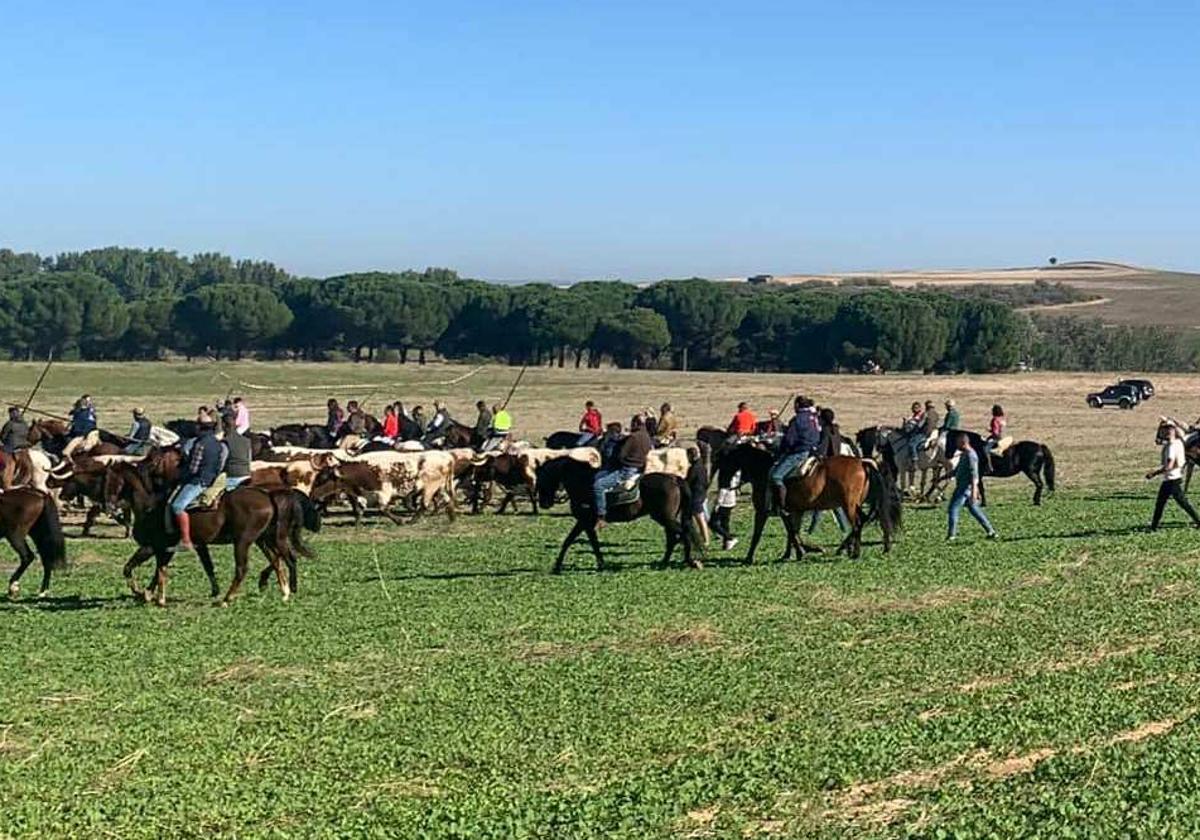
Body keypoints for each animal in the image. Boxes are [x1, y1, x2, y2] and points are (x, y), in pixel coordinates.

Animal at [105, 463, 319, 607]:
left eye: (110, 481)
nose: (109, 507)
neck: (150, 506)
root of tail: (267, 495)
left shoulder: (152, 547)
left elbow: (132, 568)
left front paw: (141, 592)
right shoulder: (178, 547)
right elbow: (179, 568)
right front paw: (153, 595)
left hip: (243, 542)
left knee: (245, 568)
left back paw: (227, 599)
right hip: (262, 539)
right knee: (278, 560)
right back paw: (284, 591)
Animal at [532, 456, 696, 573]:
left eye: (542, 477)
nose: (544, 503)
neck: (582, 482)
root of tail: (673, 479)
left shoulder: (584, 521)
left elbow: (572, 541)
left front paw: (557, 566)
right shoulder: (586, 524)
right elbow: (588, 543)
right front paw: (601, 564)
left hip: (664, 518)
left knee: (683, 533)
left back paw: (691, 561)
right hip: (665, 519)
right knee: (673, 539)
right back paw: (664, 563)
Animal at [710, 439, 902, 564]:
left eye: (724, 463)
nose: (723, 485)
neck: (763, 470)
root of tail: (862, 462)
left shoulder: (763, 511)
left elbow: (760, 534)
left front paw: (749, 558)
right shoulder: (791, 511)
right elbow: (792, 532)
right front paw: (795, 553)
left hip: (848, 505)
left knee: (857, 524)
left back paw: (854, 552)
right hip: (853, 505)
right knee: (862, 521)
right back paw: (850, 549)